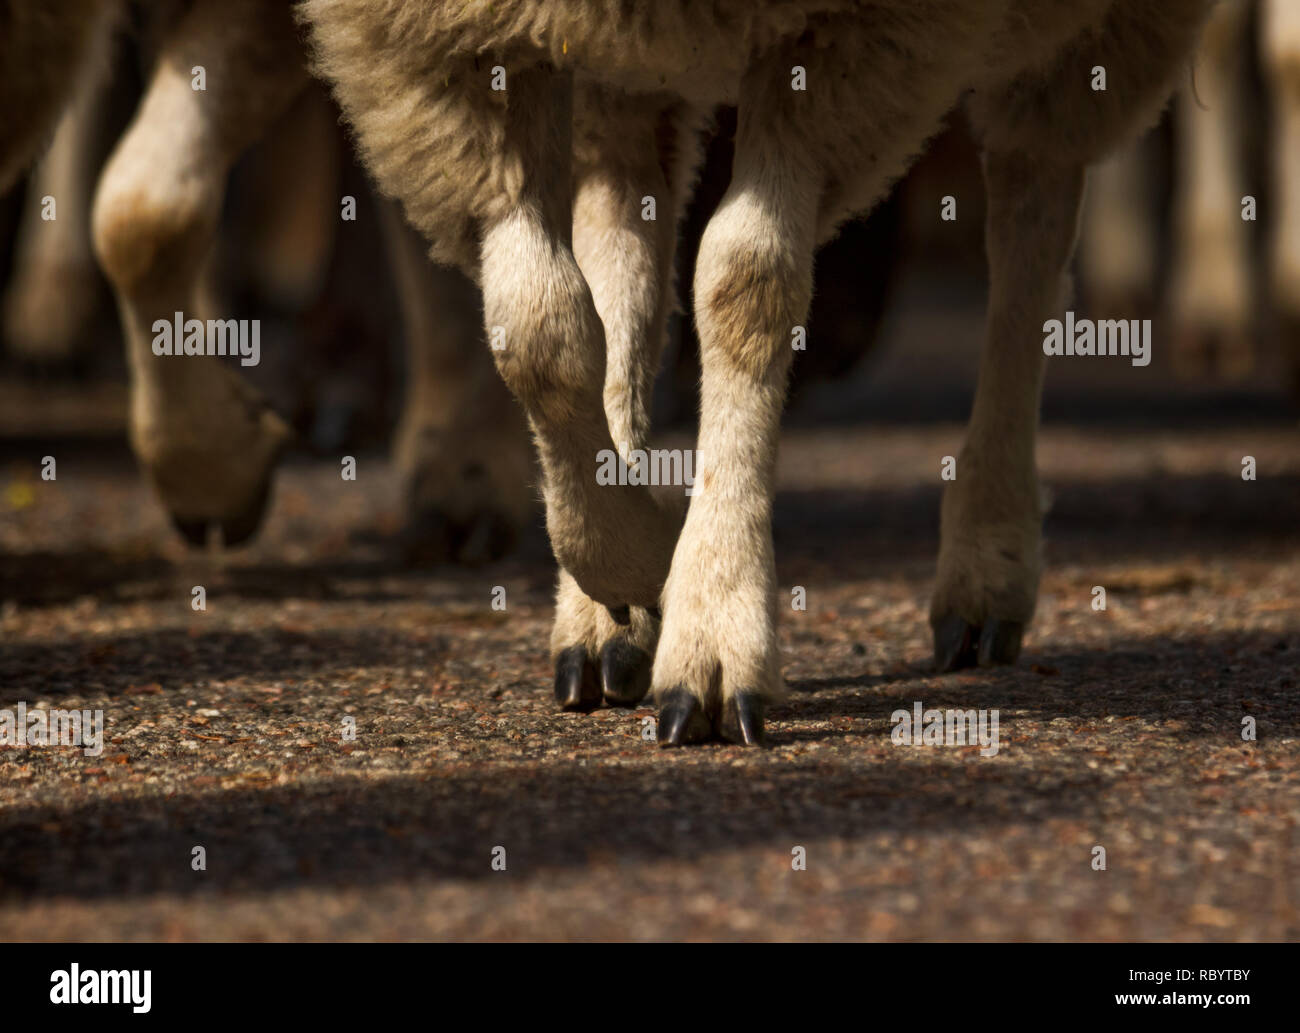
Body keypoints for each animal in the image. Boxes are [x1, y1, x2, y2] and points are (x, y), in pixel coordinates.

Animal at [304, 0, 1216, 743]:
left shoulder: (859, 31)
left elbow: (744, 279)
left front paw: (708, 618)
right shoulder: (437, 36)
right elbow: (541, 322)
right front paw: (628, 573)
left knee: (1035, 204)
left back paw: (987, 567)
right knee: (621, 234)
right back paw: (598, 620)